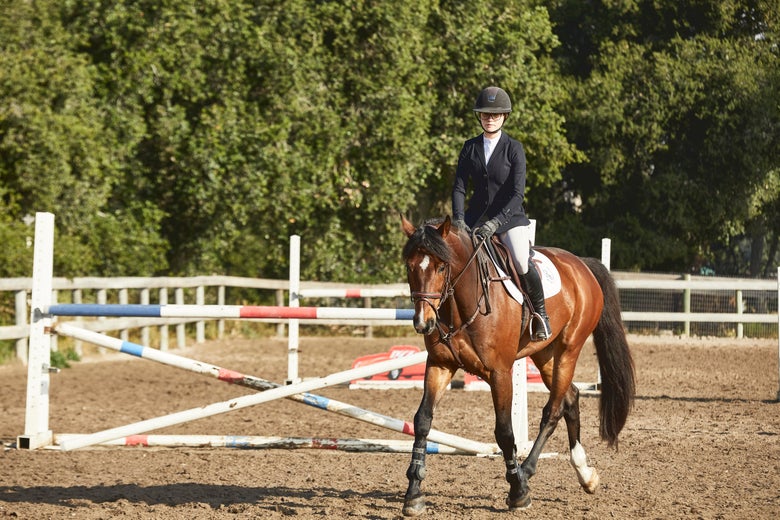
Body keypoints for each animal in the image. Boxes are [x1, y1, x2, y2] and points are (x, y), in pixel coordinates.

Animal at [400, 215, 635, 516]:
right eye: (410, 266)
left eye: (442, 266)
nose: (423, 322)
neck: (461, 303)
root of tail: (581, 264)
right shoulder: (440, 365)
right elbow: (422, 421)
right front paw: (413, 493)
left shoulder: (500, 373)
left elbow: (504, 431)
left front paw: (518, 492)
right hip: (545, 354)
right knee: (571, 396)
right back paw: (585, 474)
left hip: (569, 349)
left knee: (553, 410)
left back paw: (526, 471)